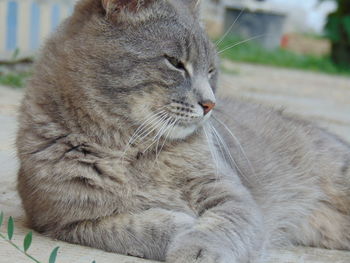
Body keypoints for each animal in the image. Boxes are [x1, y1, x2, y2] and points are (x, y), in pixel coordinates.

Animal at [16, 0, 350, 263]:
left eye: (211, 70)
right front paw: (181, 225)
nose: (210, 104)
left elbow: (223, 225)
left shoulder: (231, 195)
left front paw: (200, 247)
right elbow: (134, 228)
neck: (130, 149)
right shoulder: (65, 221)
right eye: (176, 63)